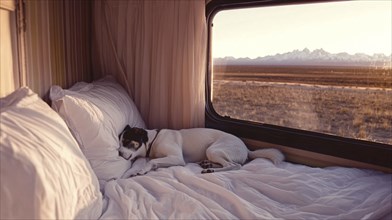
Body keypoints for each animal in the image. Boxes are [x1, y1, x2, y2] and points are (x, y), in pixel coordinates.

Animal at [118, 125, 284, 175]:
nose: (118, 152)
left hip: (214, 150)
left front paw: (142, 170)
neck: (153, 140)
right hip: (212, 153)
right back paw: (207, 164)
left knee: (233, 165)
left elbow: (151, 161)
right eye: (119, 142)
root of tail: (247, 148)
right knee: (227, 163)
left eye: (126, 142)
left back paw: (210, 170)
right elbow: (155, 162)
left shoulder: (177, 158)